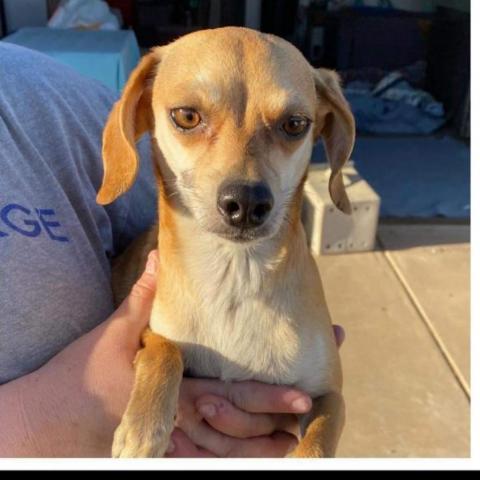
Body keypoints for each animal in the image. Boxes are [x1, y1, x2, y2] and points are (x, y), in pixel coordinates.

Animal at [95, 25, 354, 458]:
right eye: (186, 116)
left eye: (295, 124)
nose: (247, 203)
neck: (234, 278)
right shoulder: (148, 335)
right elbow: (165, 350)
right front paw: (143, 429)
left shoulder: (330, 395)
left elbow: (316, 444)